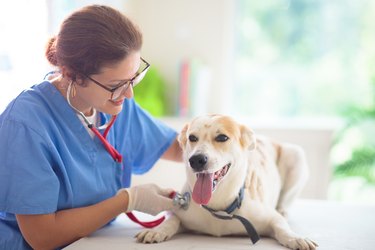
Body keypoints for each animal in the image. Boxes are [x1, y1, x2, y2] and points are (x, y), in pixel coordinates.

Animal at [137, 114, 318, 249]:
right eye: (192, 137)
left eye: (222, 137)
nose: (196, 160)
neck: (218, 206)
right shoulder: (181, 211)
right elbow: (172, 219)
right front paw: (158, 229)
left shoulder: (270, 218)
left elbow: (282, 226)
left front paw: (295, 238)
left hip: (296, 155)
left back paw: (283, 210)